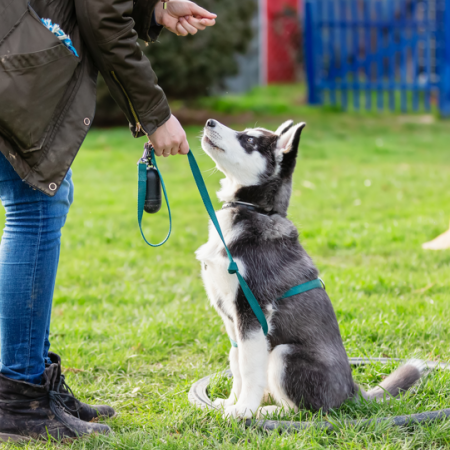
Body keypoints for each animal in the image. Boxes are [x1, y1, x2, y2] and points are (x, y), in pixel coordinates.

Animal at [196, 118, 426, 418]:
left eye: (249, 140)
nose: (209, 121)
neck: (254, 211)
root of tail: (352, 390)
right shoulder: (231, 318)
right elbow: (236, 361)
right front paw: (231, 402)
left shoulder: (253, 311)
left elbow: (249, 368)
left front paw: (243, 410)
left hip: (284, 353)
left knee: (308, 411)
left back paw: (269, 412)